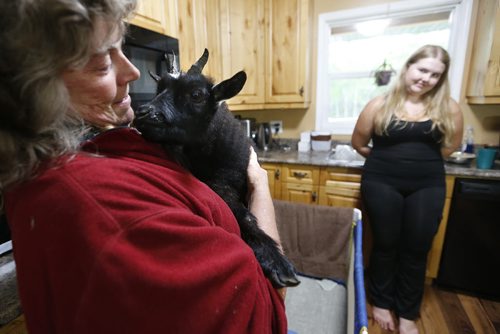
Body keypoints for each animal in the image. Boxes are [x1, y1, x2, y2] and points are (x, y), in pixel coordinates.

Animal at [133, 50, 298, 290]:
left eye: (197, 95)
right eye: (158, 88)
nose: (142, 113)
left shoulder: (227, 181)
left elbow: (244, 215)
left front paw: (276, 261)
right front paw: (275, 260)